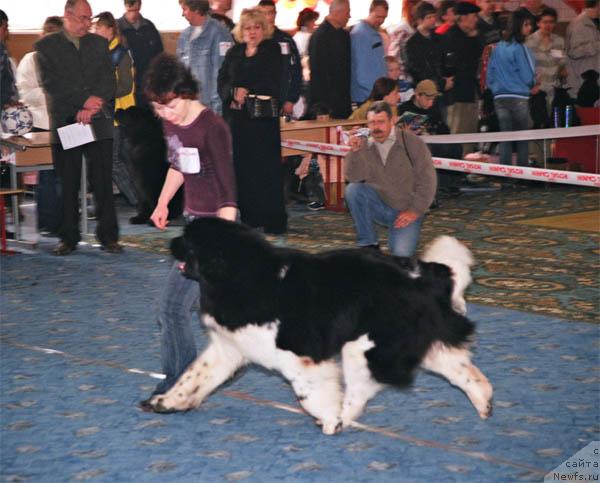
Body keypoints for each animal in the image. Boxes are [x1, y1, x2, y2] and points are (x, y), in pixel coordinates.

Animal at [145, 219, 492, 434]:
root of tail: (420, 274)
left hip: (365, 346)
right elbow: (194, 376)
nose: (171, 240)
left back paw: (340, 420)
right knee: (463, 371)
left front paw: (328, 416)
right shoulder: (228, 348)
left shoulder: (299, 357)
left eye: (188, 240)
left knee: (363, 387)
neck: (239, 275)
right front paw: (166, 402)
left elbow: (309, 393)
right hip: (412, 340)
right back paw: (484, 402)